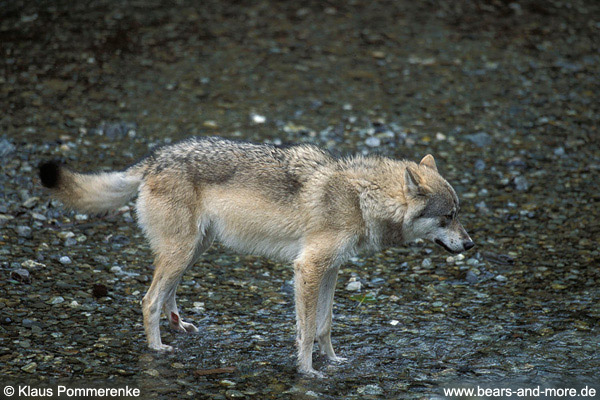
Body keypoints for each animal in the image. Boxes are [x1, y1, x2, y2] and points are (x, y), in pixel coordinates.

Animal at [39, 136, 476, 376]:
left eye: (459, 214)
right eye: (448, 217)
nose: (471, 245)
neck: (359, 197)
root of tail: (154, 159)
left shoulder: (331, 270)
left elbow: (325, 326)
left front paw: (334, 362)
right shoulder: (308, 268)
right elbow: (305, 331)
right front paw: (307, 372)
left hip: (193, 250)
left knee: (165, 296)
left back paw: (178, 326)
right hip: (182, 251)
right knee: (148, 300)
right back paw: (158, 348)